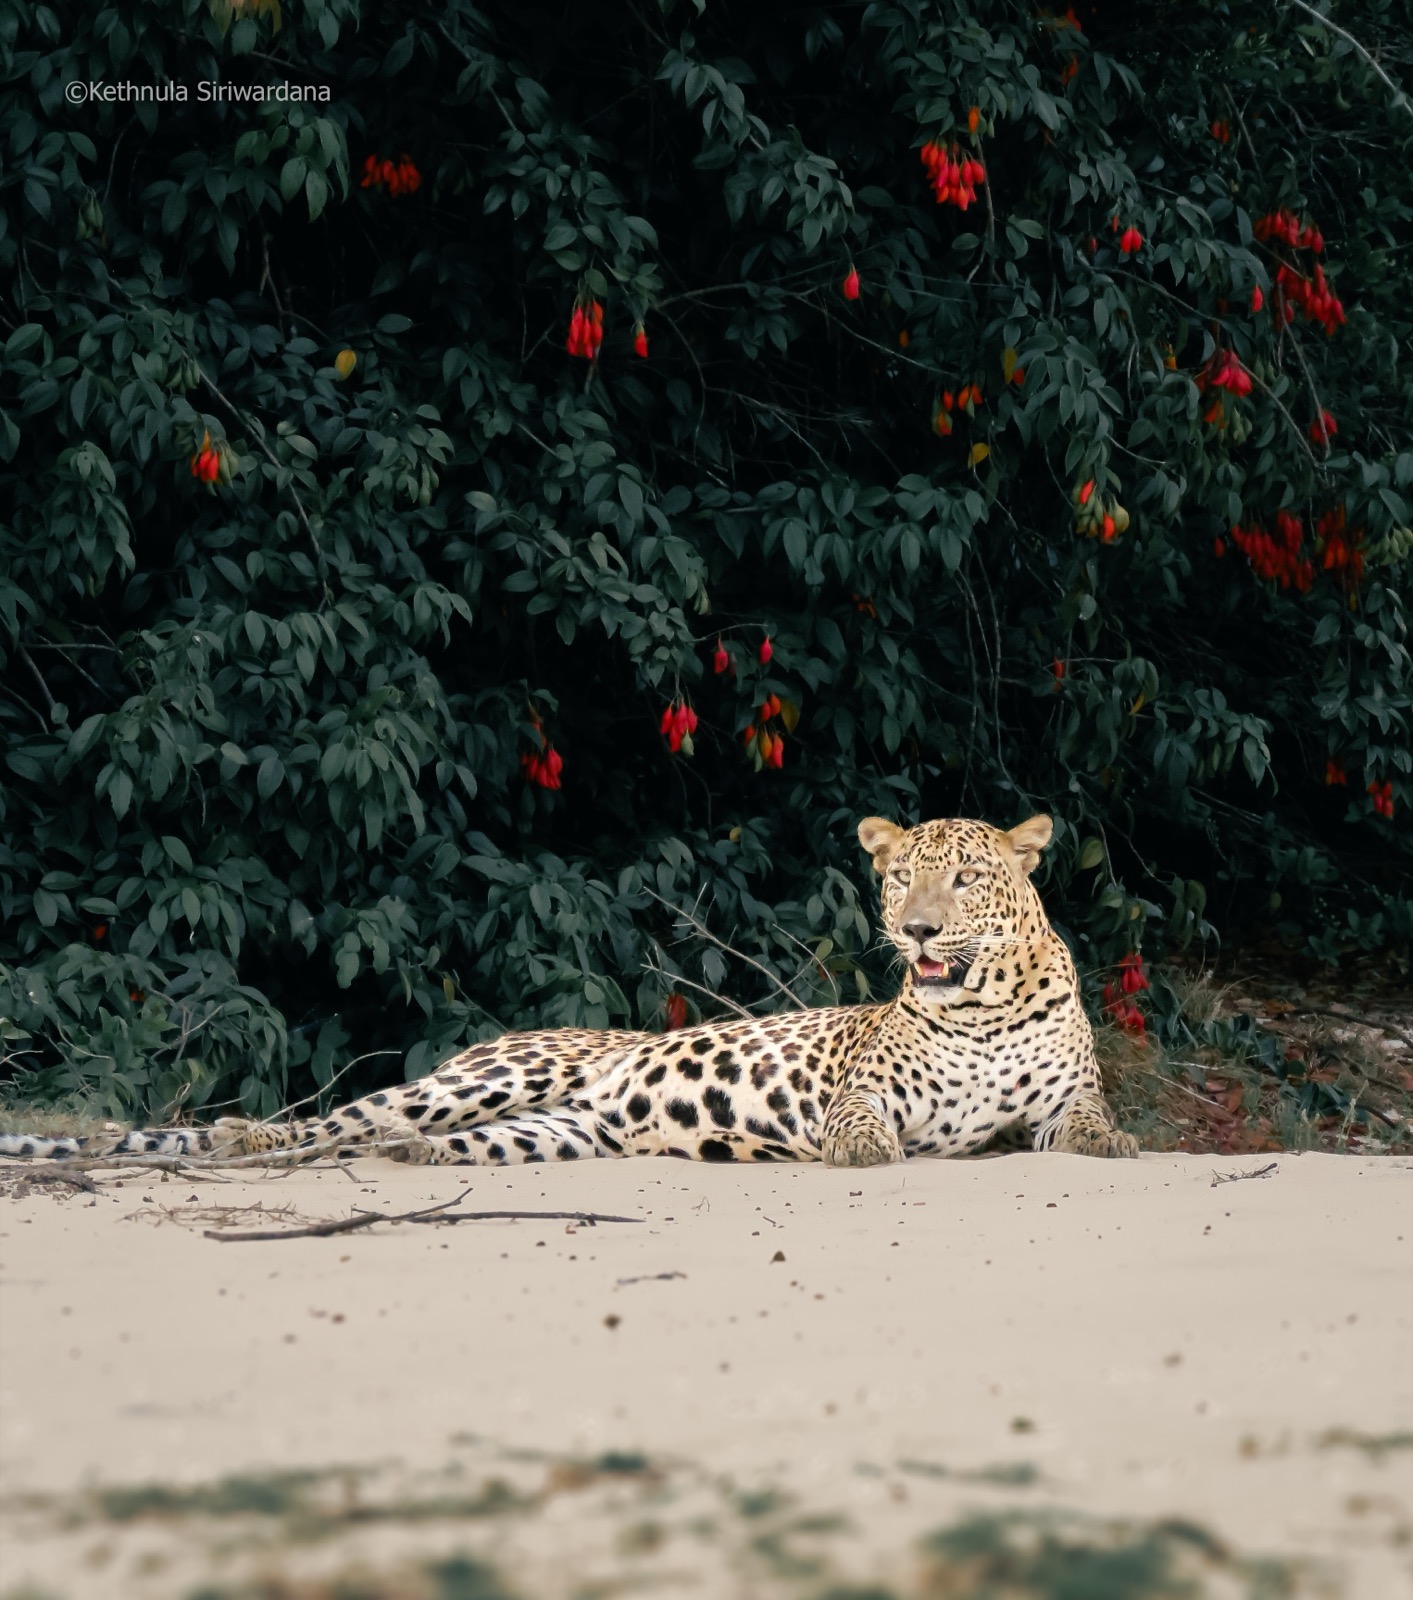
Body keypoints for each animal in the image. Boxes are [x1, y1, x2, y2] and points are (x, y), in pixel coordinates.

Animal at [0, 814, 1138, 1169]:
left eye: (967, 879)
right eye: (901, 876)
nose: (917, 931)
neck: (981, 1008)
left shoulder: (1053, 1100)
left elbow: (1088, 1116)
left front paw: (1118, 1140)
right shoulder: (863, 1085)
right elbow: (859, 1117)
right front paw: (859, 1150)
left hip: (554, 1130)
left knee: (400, 1139)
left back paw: (406, 1158)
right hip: (483, 1077)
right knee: (331, 1117)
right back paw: (249, 1139)